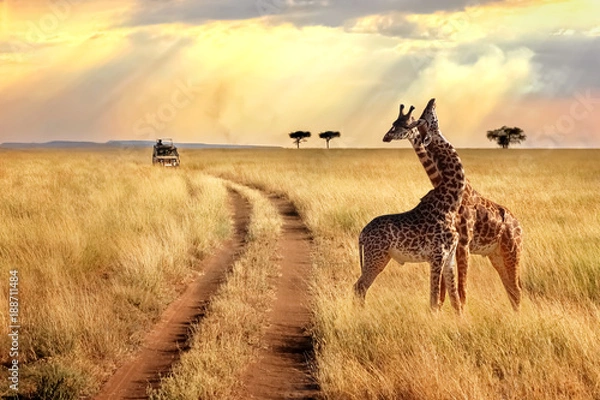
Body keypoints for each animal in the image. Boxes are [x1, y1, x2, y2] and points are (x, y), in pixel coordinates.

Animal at [354, 101, 466, 314]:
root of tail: (362, 234)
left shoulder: (449, 258)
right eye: (427, 118)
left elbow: (455, 301)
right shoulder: (437, 256)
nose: (432, 101)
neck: (450, 203)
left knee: (359, 287)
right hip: (376, 257)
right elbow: (434, 301)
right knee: (359, 287)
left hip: (379, 257)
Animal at [386, 98, 524, 310]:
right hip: (496, 255)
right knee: (511, 289)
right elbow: (447, 291)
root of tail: (519, 225)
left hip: (512, 251)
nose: (432, 101)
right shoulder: (452, 246)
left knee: (516, 290)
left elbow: (460, 290)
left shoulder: (463, 244)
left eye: (407, 123)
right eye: (396, 123)